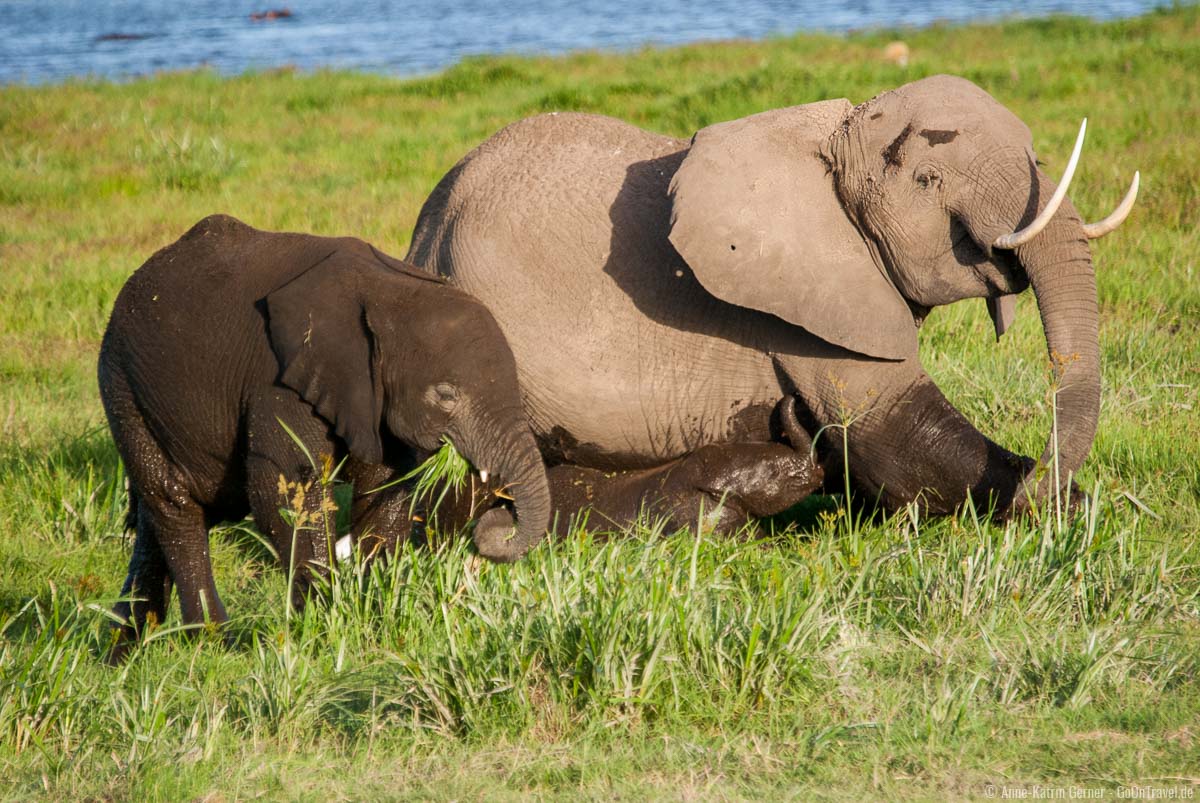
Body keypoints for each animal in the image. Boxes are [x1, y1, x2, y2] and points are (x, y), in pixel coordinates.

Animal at [100, 212, 549, 657]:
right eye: (446, 396)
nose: (499, 520)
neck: (390, 291)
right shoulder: (281, 379)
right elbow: (287, 492)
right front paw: (324, 625)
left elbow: (386, 490)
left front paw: (372, 613)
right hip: (122, 385)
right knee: (174, 504)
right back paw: (213, 643)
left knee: (153, 516)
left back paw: (122, 651)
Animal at [408, 73, 1137, 520]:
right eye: (928, 180)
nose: (1042, 482)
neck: (832, 136)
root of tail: (423, 230)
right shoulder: (807, 312)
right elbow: (896, 439)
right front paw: (1067, 506)